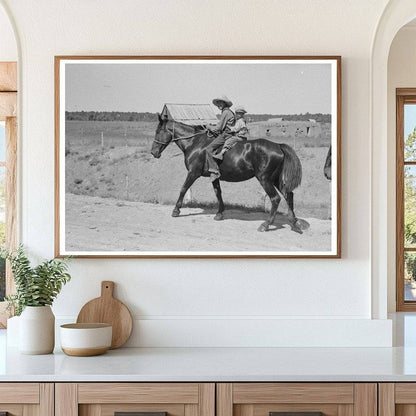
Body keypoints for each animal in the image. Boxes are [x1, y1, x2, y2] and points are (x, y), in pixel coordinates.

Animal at [151, 116, 304, 234]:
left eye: (158, 131)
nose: (153, 152)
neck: (195, 144)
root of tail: (278, 145)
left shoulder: (193, 173)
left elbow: (183, 189)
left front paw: (176, 210)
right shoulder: (214, 176)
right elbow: (218, 193)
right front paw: (219, 213)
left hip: (265, 179)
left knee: (275, 198)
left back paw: (266, 225)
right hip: (275, 179)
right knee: (289, 195)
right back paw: (294, 223)